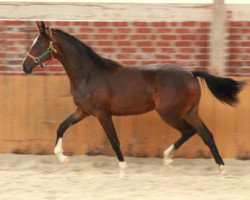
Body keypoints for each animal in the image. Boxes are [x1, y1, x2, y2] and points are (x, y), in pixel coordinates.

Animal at [22, 21, 245, 173]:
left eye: (38, 44)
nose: (25, 67)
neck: (88, 74)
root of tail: (191, 73)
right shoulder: (83, 111)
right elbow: (61, 126)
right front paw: (63, 158)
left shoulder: (102, 113)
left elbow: (114, 140)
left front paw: (123, 167)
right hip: (190, 112)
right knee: (206, 134)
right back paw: (220, 167)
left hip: (170, 114)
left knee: (190, 131)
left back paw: (168, 158)